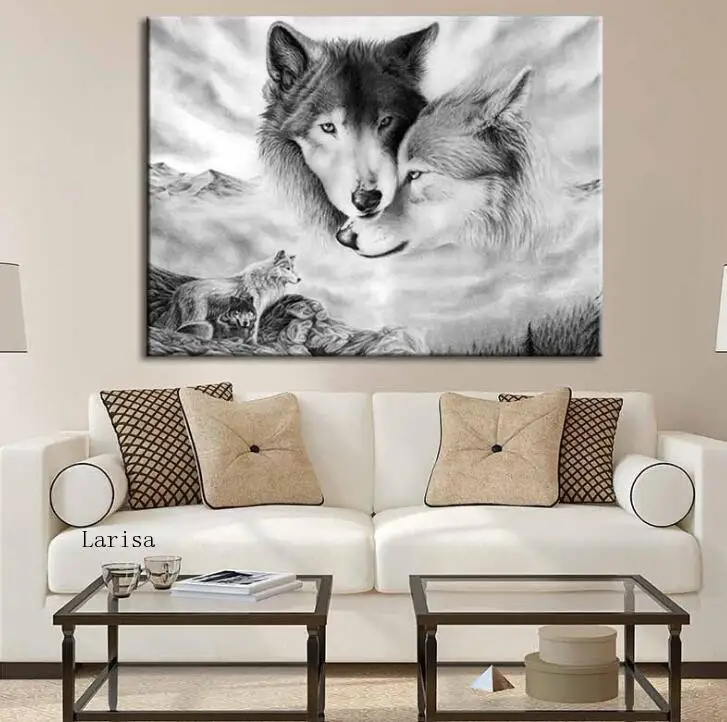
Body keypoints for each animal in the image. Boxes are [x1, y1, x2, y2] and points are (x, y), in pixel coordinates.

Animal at [165, 250, 301, 343]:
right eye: (288, 268)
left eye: (293, 269)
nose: (300, 279)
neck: (265, 279)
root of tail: (180, 289)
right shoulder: (255, 310)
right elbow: (254, 330)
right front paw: (253, 344)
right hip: (197, 317)